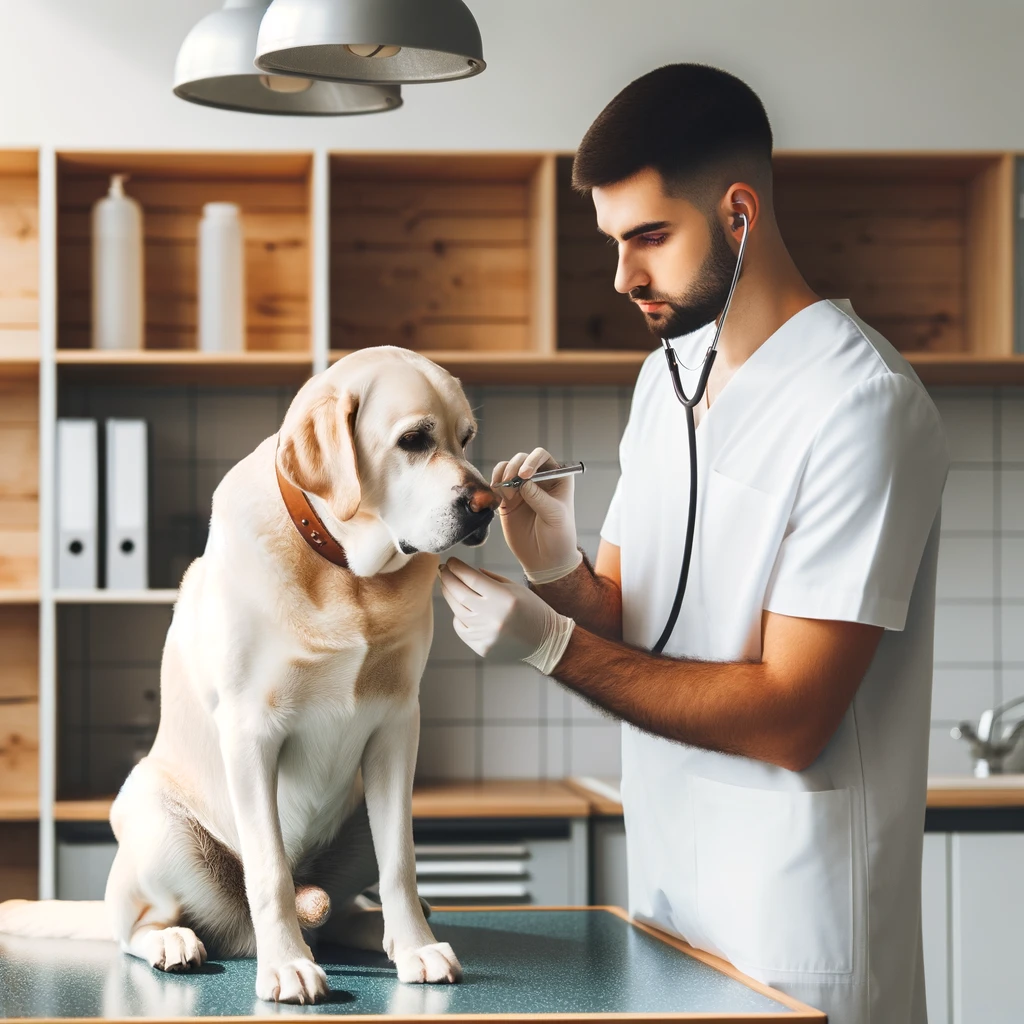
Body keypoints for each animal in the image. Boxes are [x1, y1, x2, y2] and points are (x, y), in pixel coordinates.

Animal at [0, 348, 499, 1003]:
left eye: (466, 439)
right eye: (414, 440)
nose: (488, 505)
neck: (344, 571)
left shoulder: (396, 729)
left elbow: (402, 864)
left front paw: (415, 947)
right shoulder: (251, 733)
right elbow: (269, 872)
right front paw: (286, 966)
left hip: (359, 817)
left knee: (339, 912)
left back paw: (379, 930)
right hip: (153, 815)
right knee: (134, 924)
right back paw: (175, 941)